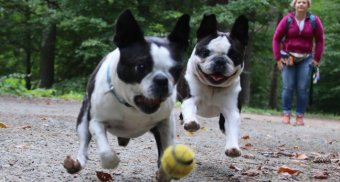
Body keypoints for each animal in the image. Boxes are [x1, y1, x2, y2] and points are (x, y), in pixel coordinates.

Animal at [63, 9, 190, 180]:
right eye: (141, 66)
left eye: (177, 70)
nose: (162, 80)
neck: (131, 106)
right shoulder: (96, 122)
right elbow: (106, 153)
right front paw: (112, 162)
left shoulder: (165, 122)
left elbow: (167, 149)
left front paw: (165, 172)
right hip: (83, 118)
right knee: (84, 143)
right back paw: (75, 164)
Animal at [177, 13, 248, 156]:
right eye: (205, 52)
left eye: (235, 56)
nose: (220, 60)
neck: (213, 87)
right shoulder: (190, 98)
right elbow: (189, 108)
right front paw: (191, 122)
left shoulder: (232, 111)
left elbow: (232, 127)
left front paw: (233, 147)